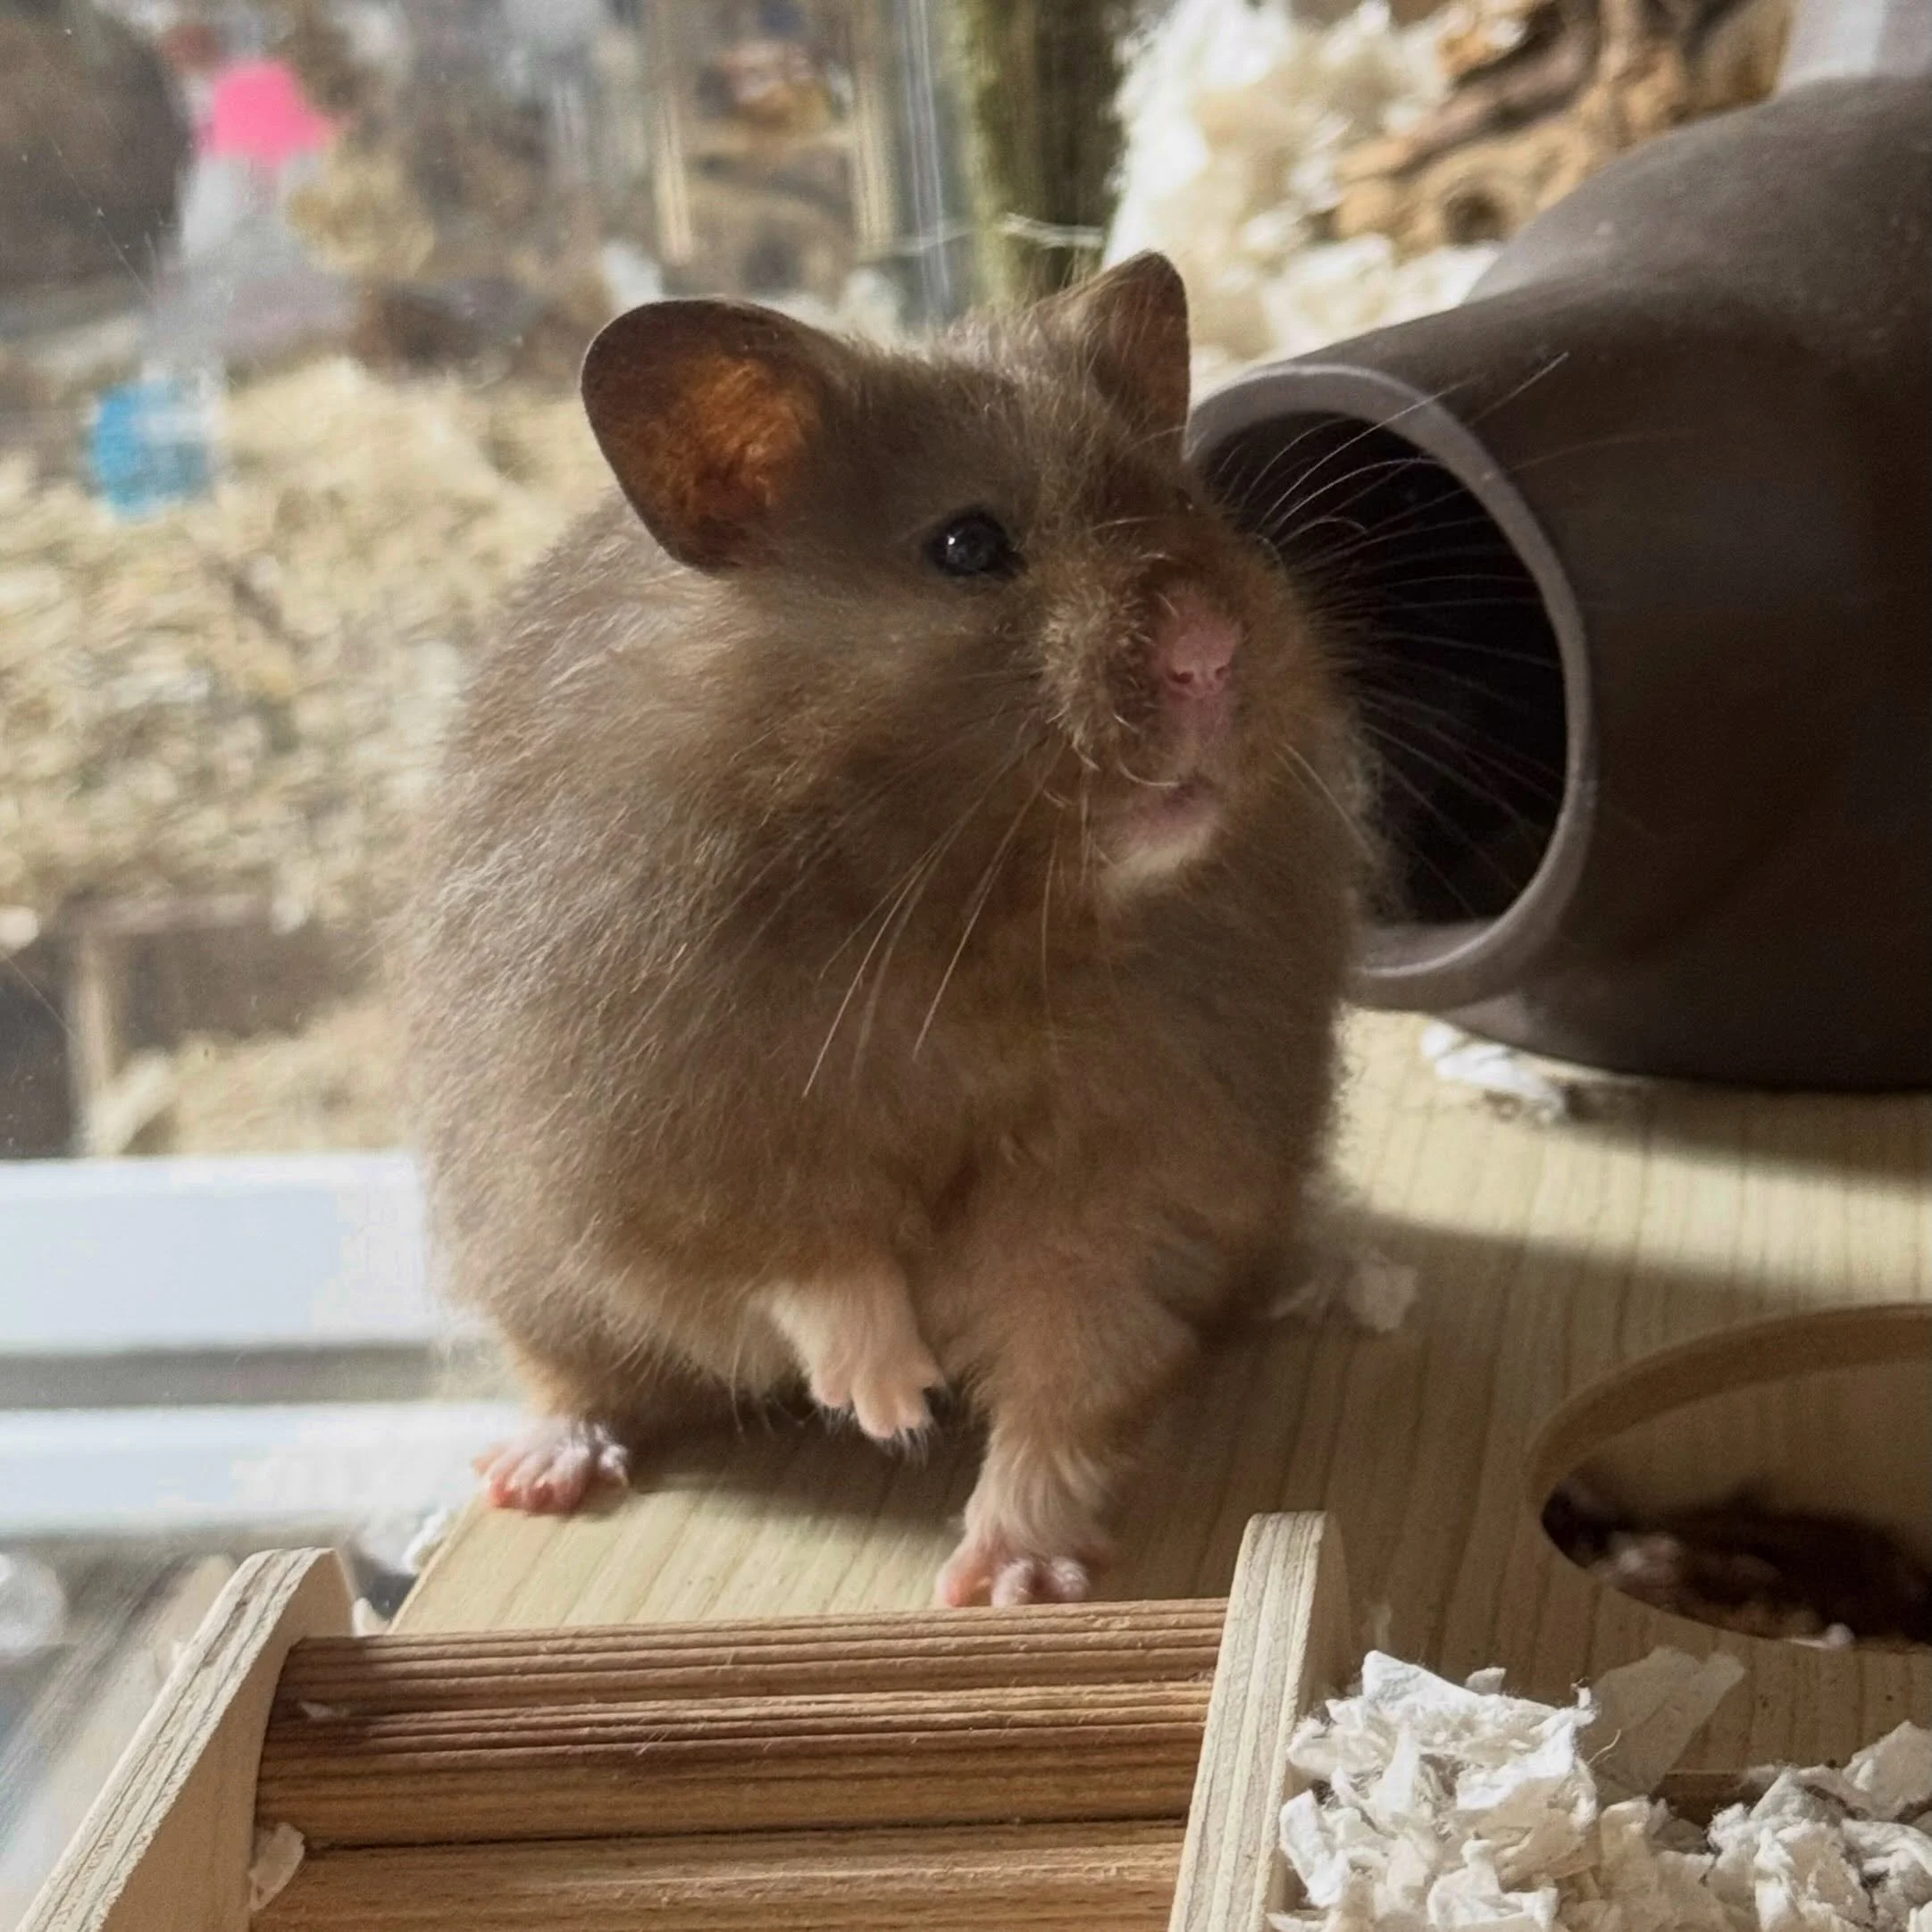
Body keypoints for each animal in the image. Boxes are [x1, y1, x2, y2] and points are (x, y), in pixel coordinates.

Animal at [400, 253, 1360, 1607]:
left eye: (1187, 501)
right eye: (967, 544)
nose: (1209, 654)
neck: (970, 920)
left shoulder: (1138, 1174)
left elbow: (1070, 1368)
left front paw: (1007, 1579)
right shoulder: (673, 1141)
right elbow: (811, 1260)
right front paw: (888, 1396)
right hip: (527, 1268)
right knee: (580, 1374)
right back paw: (538, 1475)